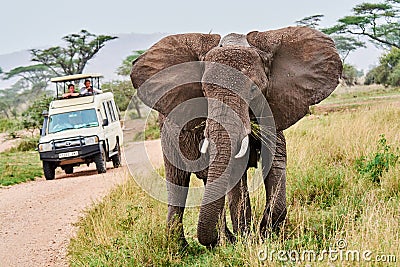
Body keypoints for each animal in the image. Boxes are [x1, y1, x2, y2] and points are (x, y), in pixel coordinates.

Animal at [130, 26, 342, 248]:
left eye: (254, 89)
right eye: (203, 90)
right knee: (178, 181)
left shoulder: (273, 108)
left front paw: (265, 233)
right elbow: (234, 177)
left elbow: (275, 163)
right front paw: (246, 240)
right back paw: (187, 247)